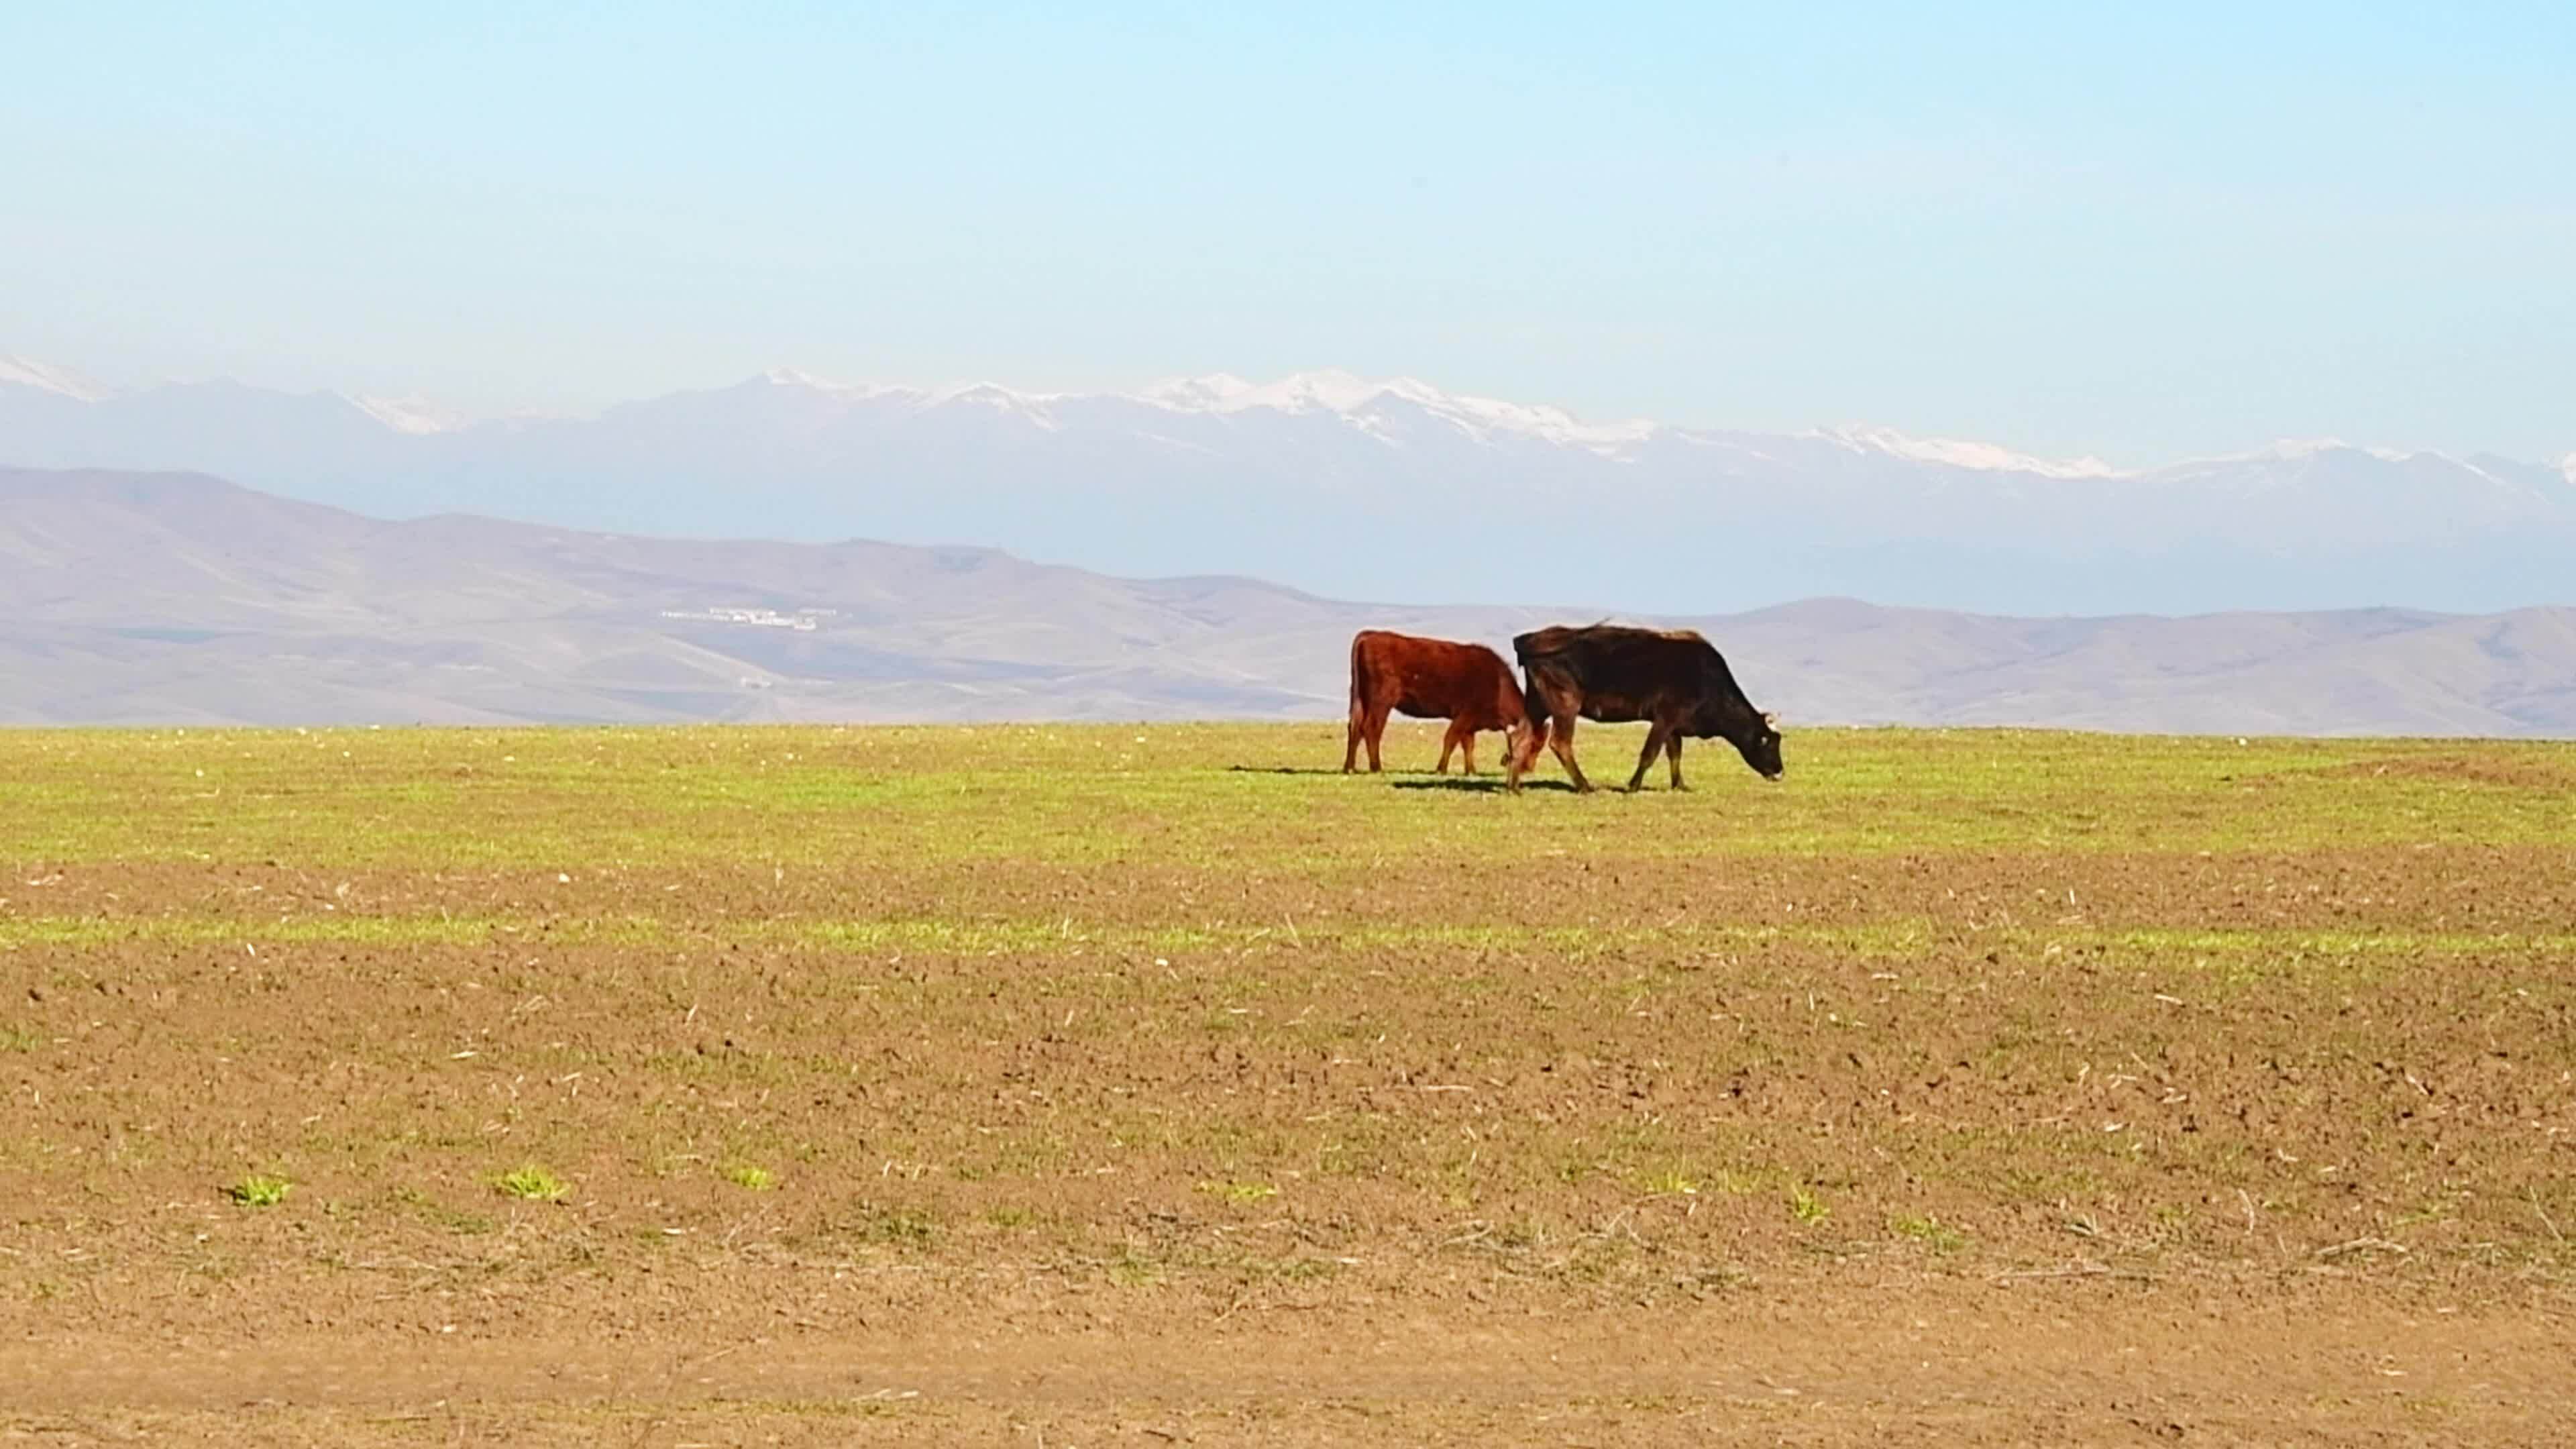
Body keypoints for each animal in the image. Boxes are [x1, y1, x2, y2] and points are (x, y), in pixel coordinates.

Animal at [1344, 629, 1538, 776]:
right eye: (1534, 745)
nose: (1529, 769)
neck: (1497, 682)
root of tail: (1370, 635)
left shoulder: (1469, 722)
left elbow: (1468, 745)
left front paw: (1471, 771)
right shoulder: (1465, 715)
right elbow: (1451, 739)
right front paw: (1441, 769)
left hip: (1361, 699)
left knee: (1355, 727)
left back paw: (1350, 768)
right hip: (1382, 701)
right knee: (1371, 728)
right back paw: (1377, 767)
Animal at [1505, 624, 1782, 793]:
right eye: (1768, 742)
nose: (1780, 772)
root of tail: (1530, 639)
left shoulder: (1673, 723)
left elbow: (1675, 753)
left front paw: (1680, 785)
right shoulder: (1666, 717)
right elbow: (1650, 752)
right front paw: (1633, 786)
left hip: (1537, 704)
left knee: (1520, 735)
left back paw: (1514, 786)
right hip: (1565, 704)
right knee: (1560, 743)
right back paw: (1585, 786)